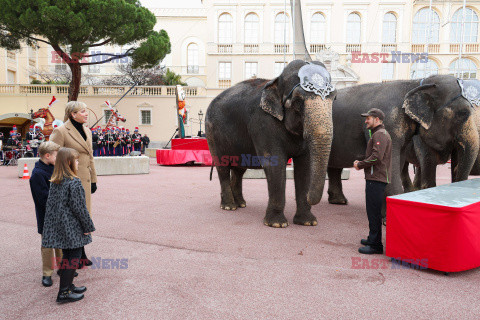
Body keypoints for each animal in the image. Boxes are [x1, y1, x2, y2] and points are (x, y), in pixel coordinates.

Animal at [204, 59, 336, 228]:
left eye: (334, 98)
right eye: (298, 101)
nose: (311, 198)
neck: (277, 82)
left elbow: (304, 165)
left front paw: (308, 222)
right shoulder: (263, 122)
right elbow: (274, 162)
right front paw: (277, 224)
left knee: (239, 169)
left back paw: (241, 204)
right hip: (212, 133)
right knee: (223, 167)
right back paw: (229, 206)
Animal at [326, 75, 476, 205]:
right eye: (463, 113)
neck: (415, 84)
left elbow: (398, 161)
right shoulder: (389, 122)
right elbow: (389, 163)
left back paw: (339, 201)